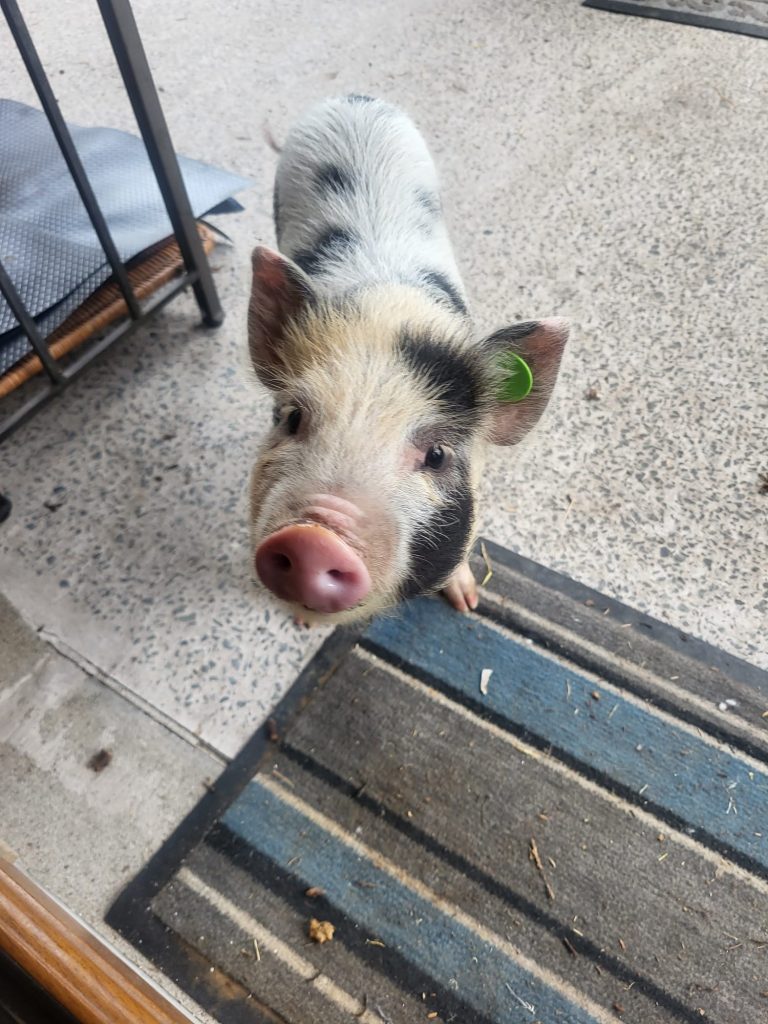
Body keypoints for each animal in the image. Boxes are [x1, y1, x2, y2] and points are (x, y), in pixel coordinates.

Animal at [248, 95, 568, 625]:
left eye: (437, 454)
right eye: (292, 418)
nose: (313, 540)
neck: (390, 310)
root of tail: (351, 96)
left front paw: (466, 603)